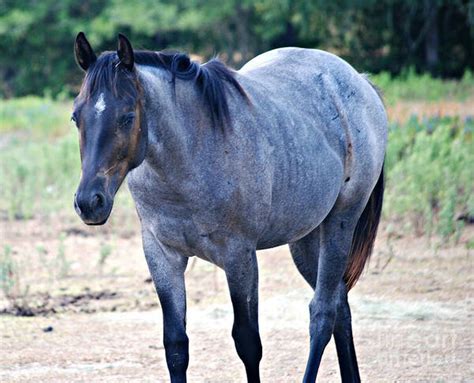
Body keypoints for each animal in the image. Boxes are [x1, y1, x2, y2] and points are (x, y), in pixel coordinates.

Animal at [72, 31, 386, 382]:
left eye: (127, 117)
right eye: (76, 116)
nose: (89, 202)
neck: (190, 159)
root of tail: (358, 81)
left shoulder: (239, 257)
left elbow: (248, 342)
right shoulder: (162, 256)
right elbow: (176, 345)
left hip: (340, 223)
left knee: (323, 313)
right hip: (305, 238)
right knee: (340, 306)